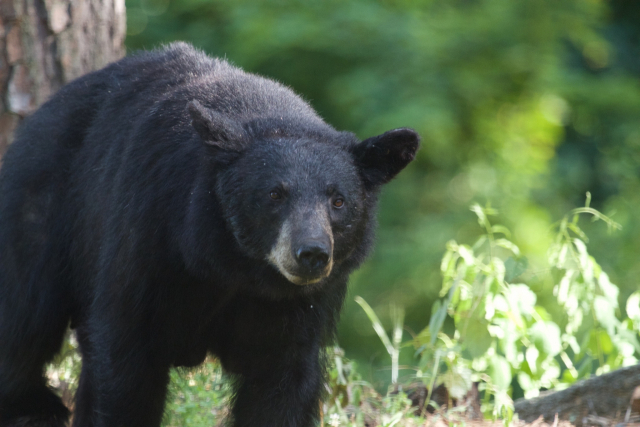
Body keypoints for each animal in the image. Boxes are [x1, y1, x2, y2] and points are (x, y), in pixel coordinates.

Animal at [0, 43, 420, 427]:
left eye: (338, 200)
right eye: (274, 194)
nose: (311, 253)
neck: (234, 268)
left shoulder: (299, 306)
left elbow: (282, 383)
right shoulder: (148, 237)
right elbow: (126, 362)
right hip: (43, 207)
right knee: (26, 313)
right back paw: (35, 406)